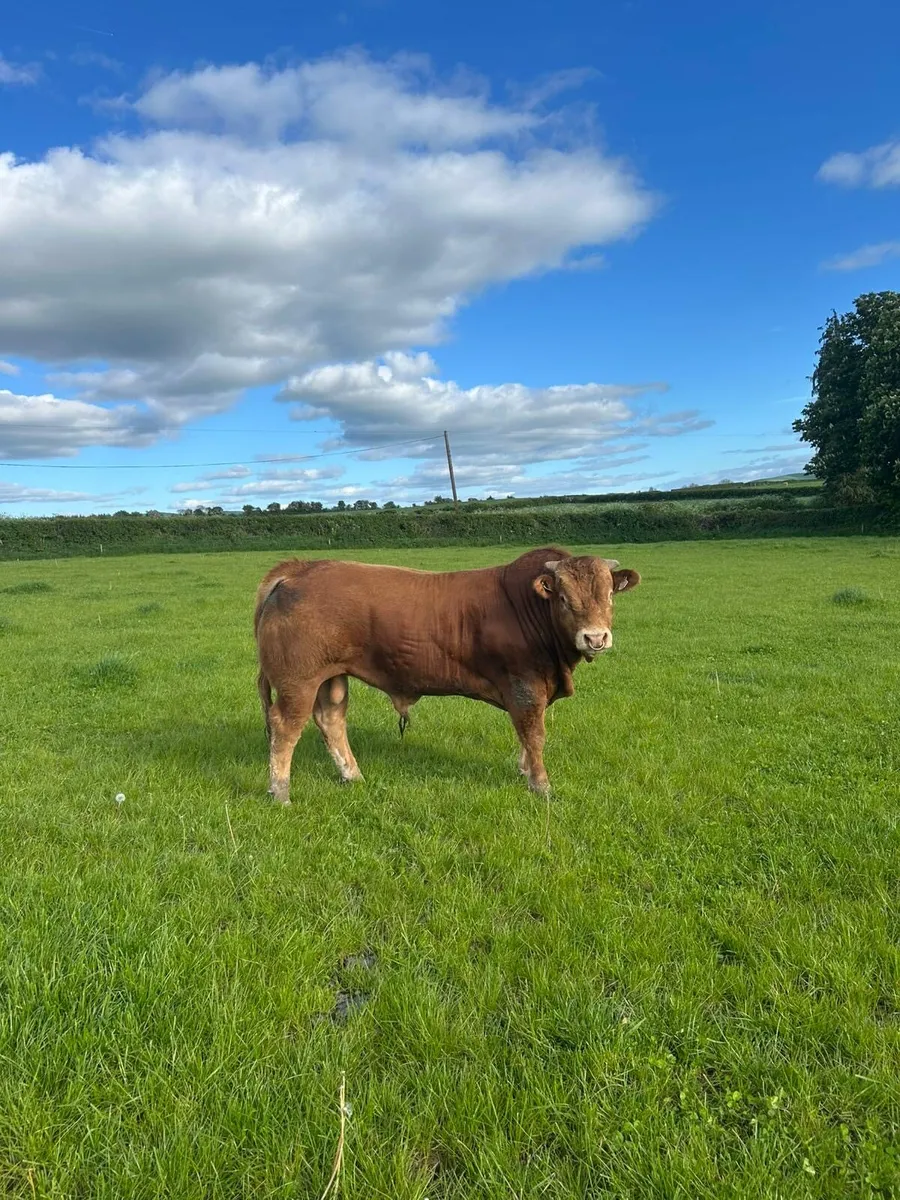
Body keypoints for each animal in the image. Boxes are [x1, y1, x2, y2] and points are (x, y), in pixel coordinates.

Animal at [254, 546, 640, 803]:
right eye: (563, 598)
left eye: (609, 594)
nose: (596, 638)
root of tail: (299, 569)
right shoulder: (525, 685)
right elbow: (534, 734)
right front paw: (541, 784)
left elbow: (524, 736)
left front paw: (525, 770)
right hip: (298, 681)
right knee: (285, 728)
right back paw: (280, 793)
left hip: (330, 676)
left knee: (331, 719)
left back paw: (353, 775)